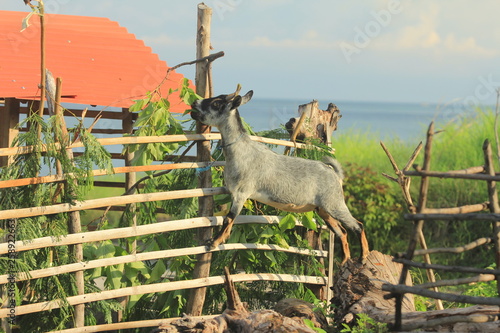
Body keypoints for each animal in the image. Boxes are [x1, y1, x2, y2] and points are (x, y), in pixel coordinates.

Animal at [189, 85, 370, 262]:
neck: (242, 151)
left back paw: (363, 257)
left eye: (216, 103)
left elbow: (229, 218)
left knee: (357, 226)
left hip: (334, 203)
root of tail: (336, 174)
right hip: (323, 209)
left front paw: (213, 243)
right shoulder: (234, 192)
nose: (194, 103)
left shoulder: (242, 192)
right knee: (342, 231)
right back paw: (346, 260)